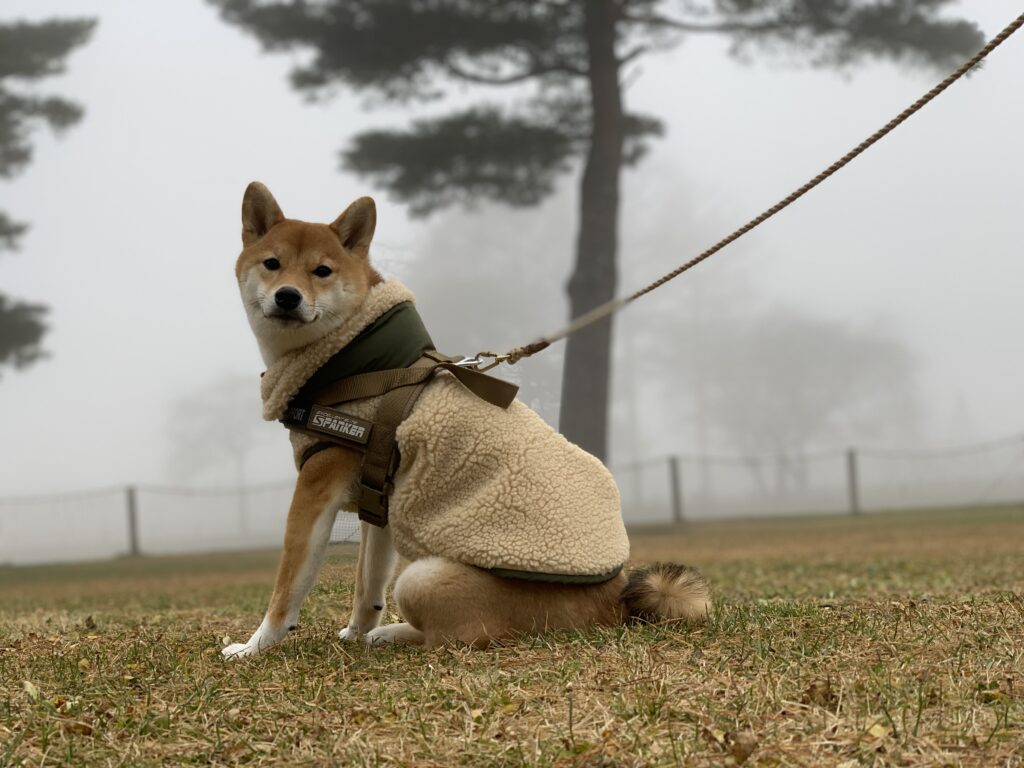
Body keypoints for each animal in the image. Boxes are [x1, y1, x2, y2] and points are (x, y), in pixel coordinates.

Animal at [220, 183, 708, 659]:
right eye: (272, 264)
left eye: (321, 271)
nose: (287, 296)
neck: (359, 356)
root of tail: (613, 603)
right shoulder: (377, 502)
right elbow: (367, 586)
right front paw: (356, 631)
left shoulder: (316, 488)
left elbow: (287, 588)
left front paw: (255, 645)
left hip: (424, 577)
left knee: (458, 637)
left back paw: (395, 635)